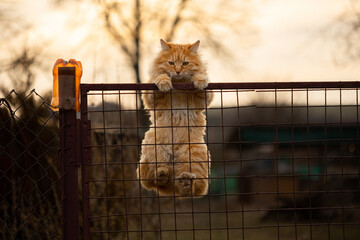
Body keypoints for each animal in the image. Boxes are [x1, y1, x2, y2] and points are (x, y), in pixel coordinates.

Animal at [136, 39, 212, 197]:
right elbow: (159, 78)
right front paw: (164, 82)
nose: (177, 71)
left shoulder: (202, 101)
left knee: (194, 187)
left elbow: (201, 83)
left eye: (185, 63)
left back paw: (185, 181)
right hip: (153, 145)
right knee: (155, 178)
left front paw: (200, 80)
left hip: (194, 151)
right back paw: (163, 172)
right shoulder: (150, 98)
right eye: (171, 63)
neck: (178, 86)